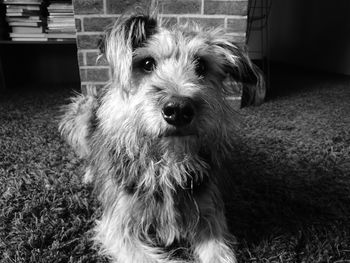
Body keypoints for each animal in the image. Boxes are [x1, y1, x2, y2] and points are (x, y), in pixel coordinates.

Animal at [59, 6, 262, 263]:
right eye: (147, 63)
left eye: (201, 66)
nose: (179, 110)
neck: (167, 162)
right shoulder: (118, 226)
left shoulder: (209, 212)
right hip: (82, 110)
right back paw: (90, 172)